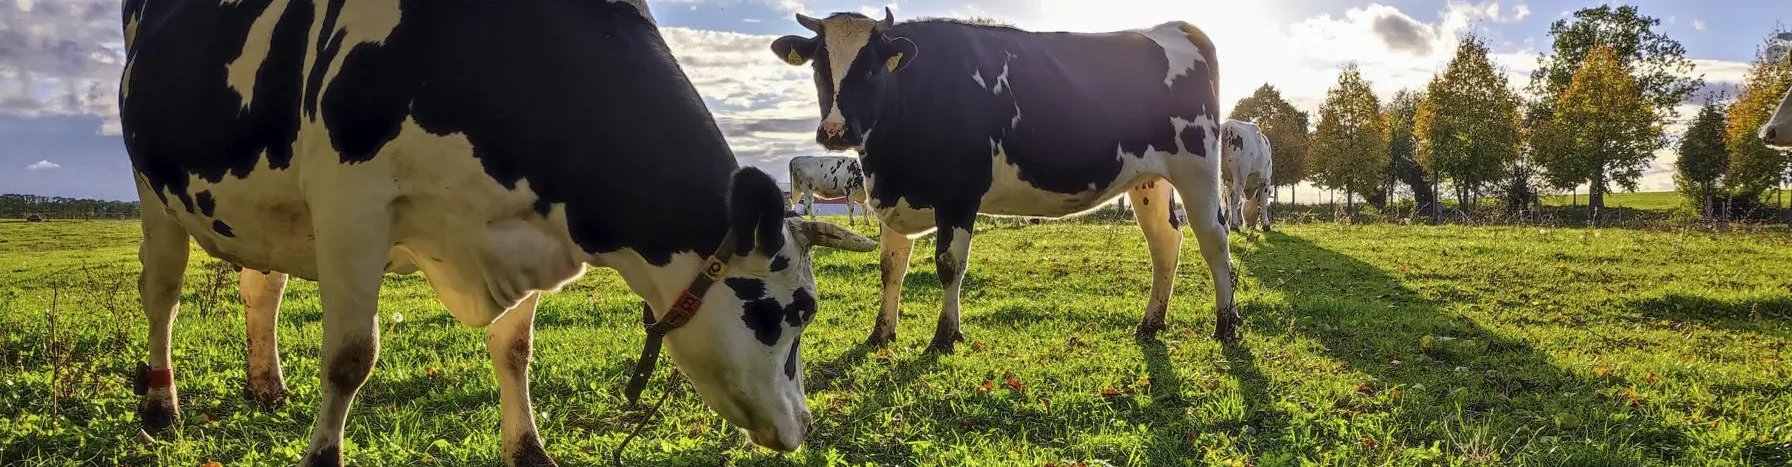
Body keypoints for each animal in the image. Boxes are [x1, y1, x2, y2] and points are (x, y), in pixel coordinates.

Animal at [120, 0, 874, 461]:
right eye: (797, 310)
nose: (804, 425)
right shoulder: (350, 202)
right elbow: (349, 358)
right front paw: (322, 454)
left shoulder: (530, 226)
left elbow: (513, 349)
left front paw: (528, 449)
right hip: (154, 193)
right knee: (161, 293)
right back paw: (160, 402)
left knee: (261, 287)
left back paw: (265, 384)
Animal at [770, 9, 1232, 350]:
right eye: (819, 68)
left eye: (870, 69)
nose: (834, 131)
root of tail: (1175, 27)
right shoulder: (891, 198)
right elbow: (890, 267)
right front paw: (881, 332)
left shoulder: (959, 195)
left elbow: (948, 264)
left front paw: (945, 335)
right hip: (1149, 180)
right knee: (1165, 243)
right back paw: (1152, 322)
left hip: (1197, 167)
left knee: (1214, 238)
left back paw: (1226, 323)